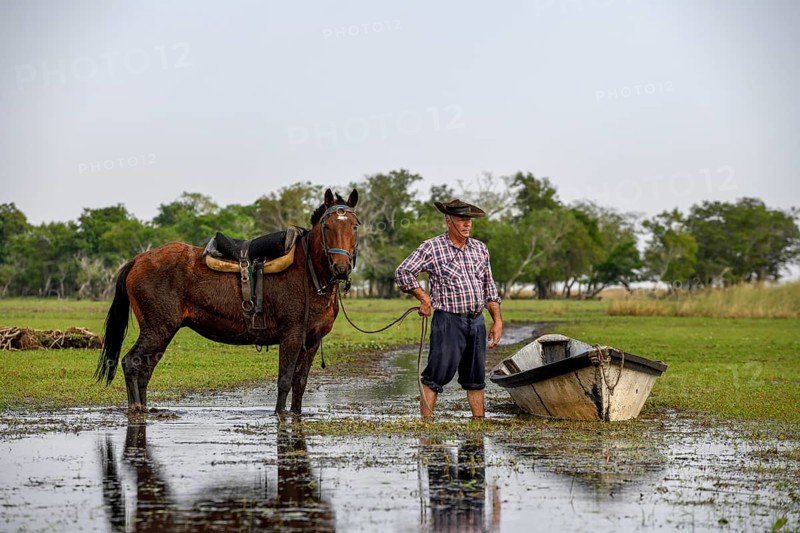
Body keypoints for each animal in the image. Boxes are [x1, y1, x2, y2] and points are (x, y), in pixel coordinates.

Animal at [95, 188, 359, 415]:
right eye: (327, 226)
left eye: (355, 226)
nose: (341, 268)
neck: (309, 272)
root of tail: (138, 260)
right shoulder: (292, 335)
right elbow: (284, 381)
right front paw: (279, 415)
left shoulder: (312, 341)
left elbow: (300, 383)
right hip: (158, 329)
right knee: (131, 363)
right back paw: (136, 409)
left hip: (160, 332)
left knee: (144, 368)